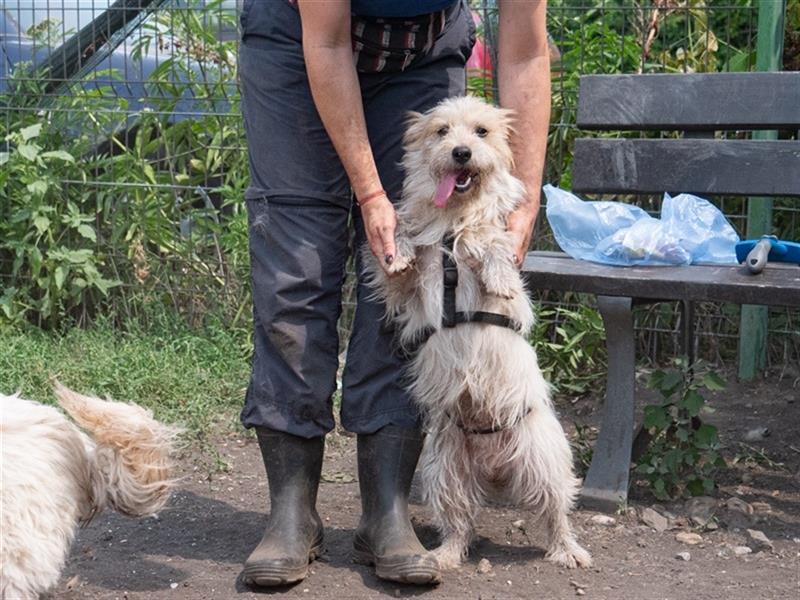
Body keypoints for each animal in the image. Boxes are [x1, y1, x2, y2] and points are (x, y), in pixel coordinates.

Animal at [368, 95, 588, 572]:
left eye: (482, 132)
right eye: (442, 131)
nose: (461, 153)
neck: (454, 216)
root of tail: (495, 469)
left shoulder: (496, 254)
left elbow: (492, 243)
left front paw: (498, 273)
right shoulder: (406, 291)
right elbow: (402, 247)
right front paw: (400, 247)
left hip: (544, 459)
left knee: (555, 511)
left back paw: (568, 550)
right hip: (443, 467)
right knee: (459, 521)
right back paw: (444, 556)